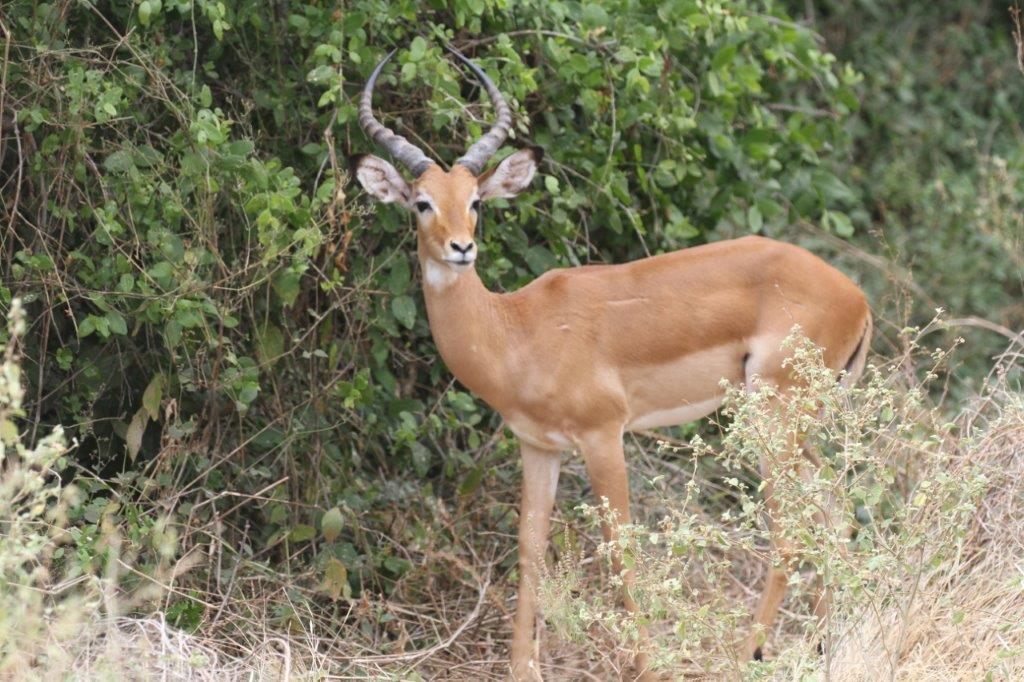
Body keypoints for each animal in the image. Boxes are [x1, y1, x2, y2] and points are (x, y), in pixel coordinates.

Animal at [351, 46, 872, 680]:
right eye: (423, 202)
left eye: (475, 202)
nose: (461, 248)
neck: (516, 330)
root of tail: (857, 296)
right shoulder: (539, 447)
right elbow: (530, 547)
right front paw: (522, 667)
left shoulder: (604, 437)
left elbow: (619, 548)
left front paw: (644, 666)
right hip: (797, 424)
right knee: (832, 510)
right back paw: (828, 646)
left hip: (771, 418)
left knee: (793, 526)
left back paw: (743, 655)